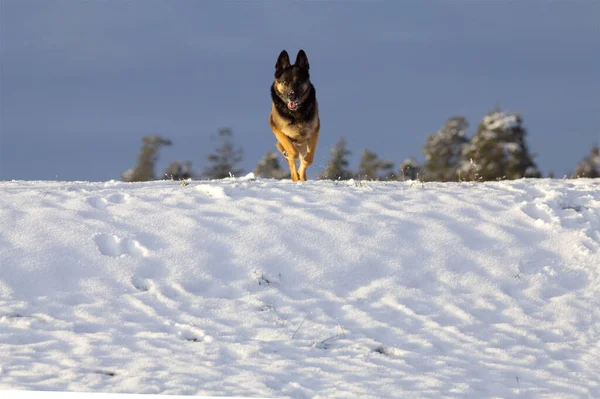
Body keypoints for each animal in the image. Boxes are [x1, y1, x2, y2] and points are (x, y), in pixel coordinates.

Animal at [270, 49, 322, 182]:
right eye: (285, 82)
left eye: (299, 82)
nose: (292, 96)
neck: (296, 112)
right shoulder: (276, 128)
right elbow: (292, 152)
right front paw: (289, 154)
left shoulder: (314, 132)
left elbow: (308, 160)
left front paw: (302, 170)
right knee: (291, 162)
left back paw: (301, 177)